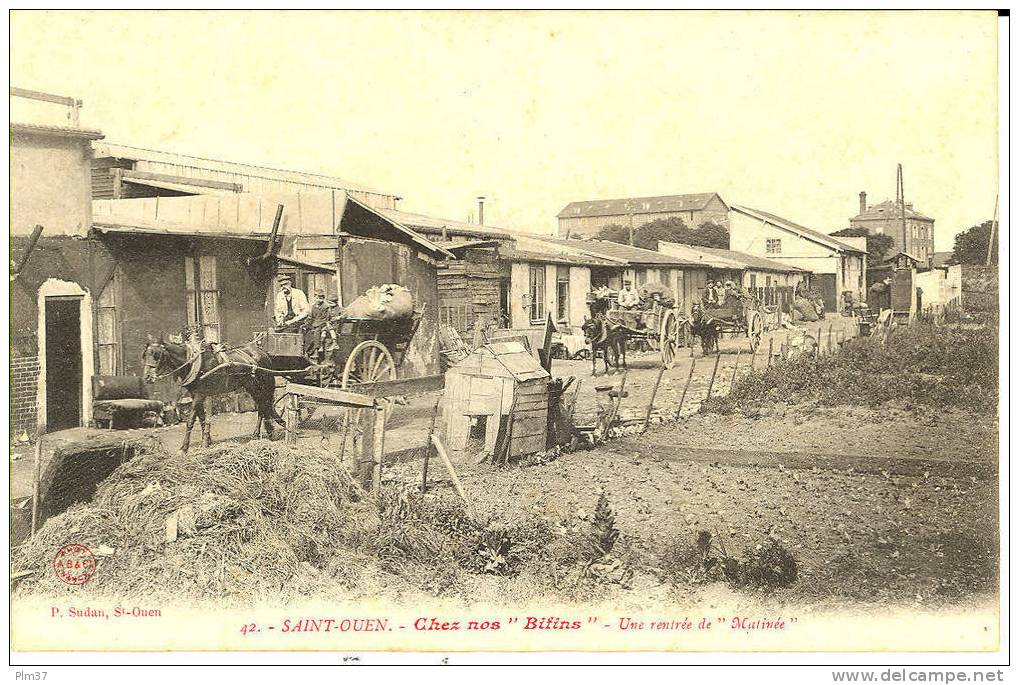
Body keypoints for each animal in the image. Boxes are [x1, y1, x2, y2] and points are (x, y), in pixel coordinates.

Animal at [141, 334, 285, 452]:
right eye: (145, 355)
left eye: (156, 355)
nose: (147, 377)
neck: (194, 363)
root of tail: (262, 352)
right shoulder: (196, 394)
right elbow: (201, 418)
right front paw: (207, 441)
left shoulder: (199, 394)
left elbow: (191, 420)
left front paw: (184, 447)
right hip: (251, 385)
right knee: (262, 406)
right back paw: (258, 433)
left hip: (257, 384)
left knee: (264, 405)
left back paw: (270, 431)